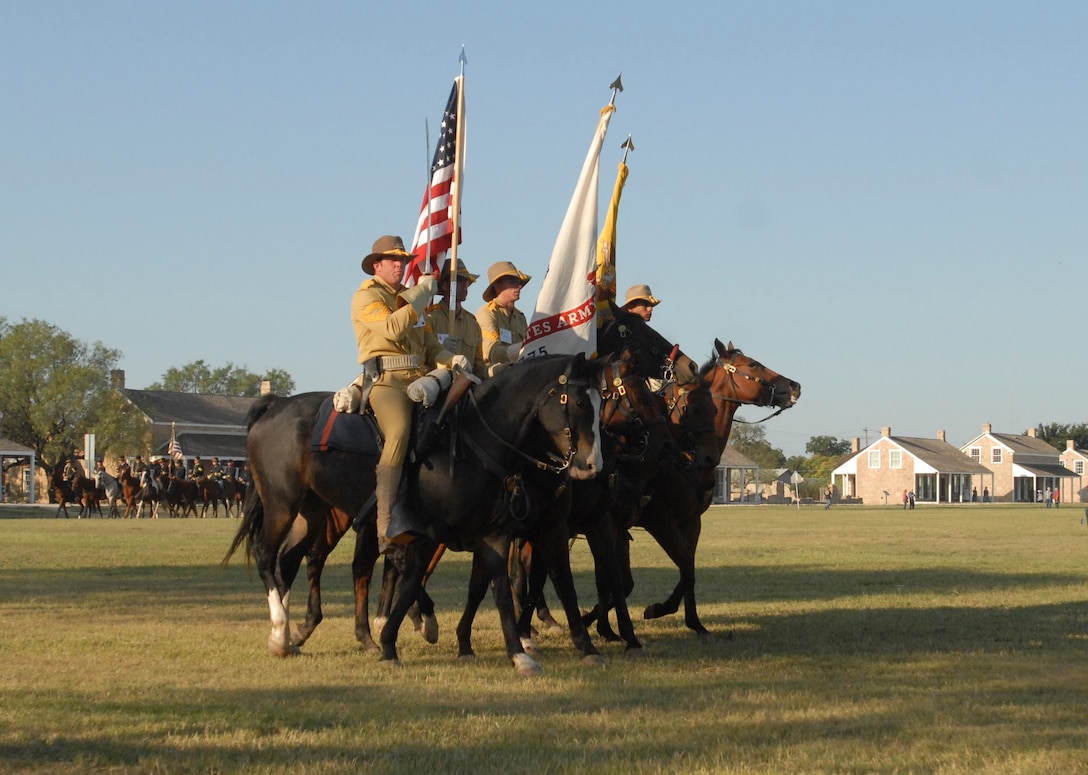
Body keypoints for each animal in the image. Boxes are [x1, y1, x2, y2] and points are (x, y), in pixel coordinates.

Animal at [225, 354, 609, 674]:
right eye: (578, 401)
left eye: (600, 401)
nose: (592, 465)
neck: (475, 439)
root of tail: (276, 405)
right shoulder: (429, 533)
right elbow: (411, 581)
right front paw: (393, 642)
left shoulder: (498, 534)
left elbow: (501, 588)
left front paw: (518, 653)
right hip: (282, 505)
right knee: (267, 554)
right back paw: (281, 630)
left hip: (312, 512)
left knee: (290, 560)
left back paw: (289, 637)